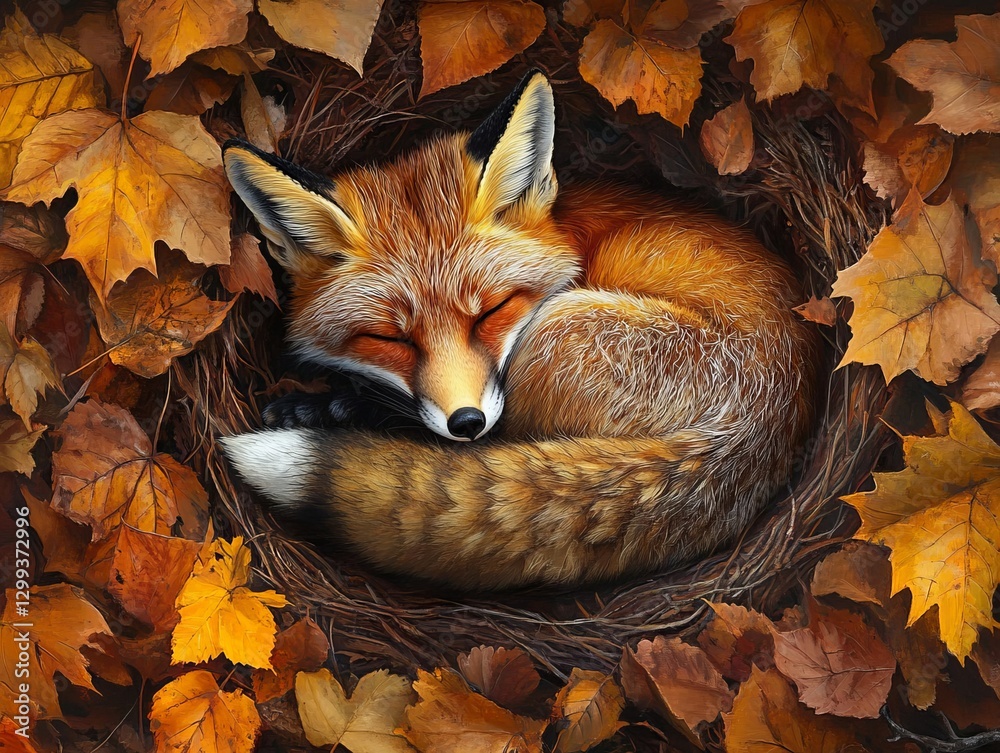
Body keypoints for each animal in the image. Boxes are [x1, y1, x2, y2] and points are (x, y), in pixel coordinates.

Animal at [220, 71, 820, 591]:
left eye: (492, 311)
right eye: (391, 339)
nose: (466, 422)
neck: (573, 231)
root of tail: (766, 427)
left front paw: (330, 406)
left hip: (559, 331)